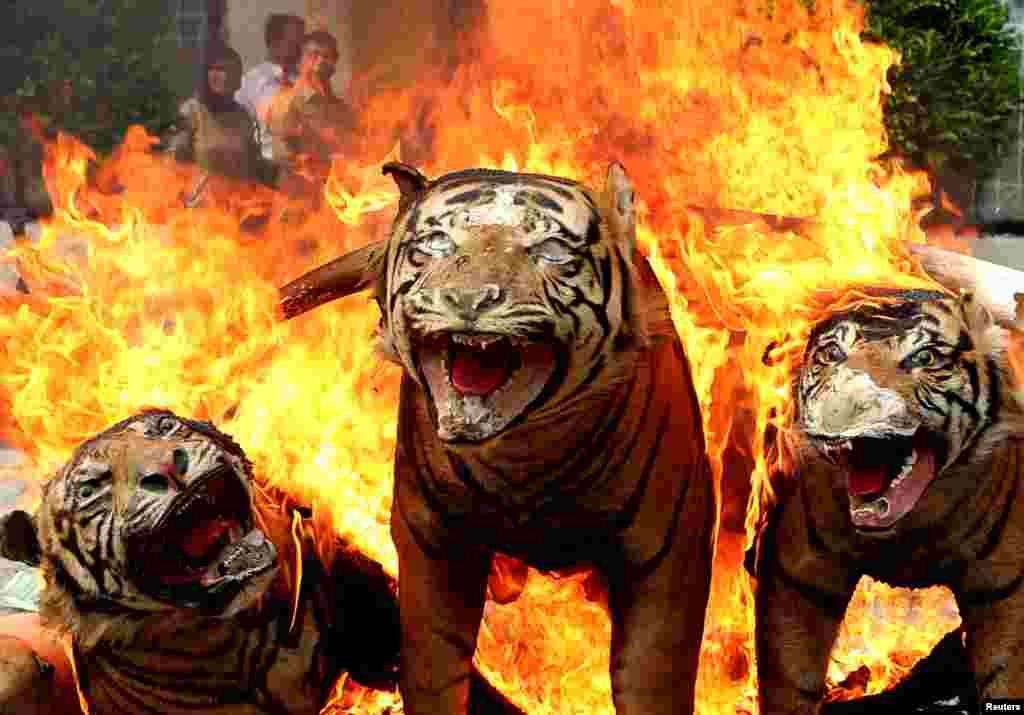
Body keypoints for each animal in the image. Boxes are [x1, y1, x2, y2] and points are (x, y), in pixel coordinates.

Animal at [281, 161, 717, 715]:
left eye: (550, 251)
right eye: (438, 243)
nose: (468, 300)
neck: (524, 452)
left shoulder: (665, 556)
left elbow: (651, 680)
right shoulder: (434, 543)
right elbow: (434, 669)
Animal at [750, 290, 1024, 713]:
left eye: (924, 358)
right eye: (832, 354)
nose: (844, 413)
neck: (909, 530)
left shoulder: (1004, 586)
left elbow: (1006, 673)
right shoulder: (798, 577)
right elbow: (791, 678)